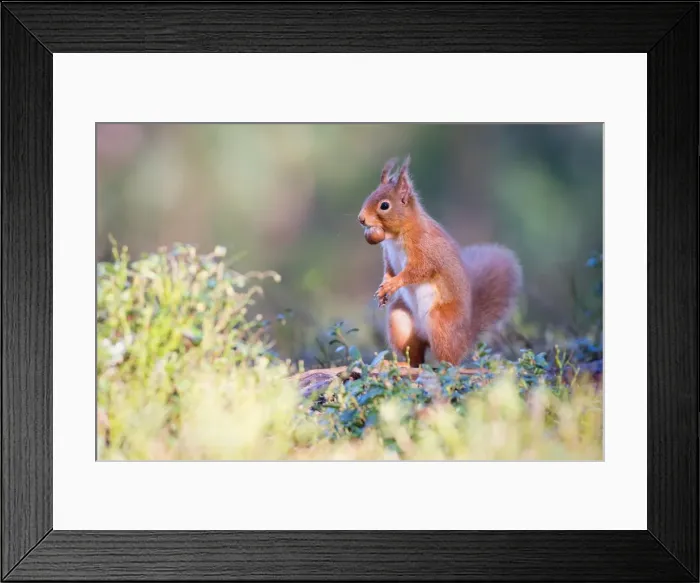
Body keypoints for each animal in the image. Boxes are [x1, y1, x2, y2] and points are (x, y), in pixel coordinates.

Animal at [357, 155, 523, 367]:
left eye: (384, 205)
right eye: (371, 195)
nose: (361, 219)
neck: (397, 235)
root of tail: (465, 337)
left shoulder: (425, 249)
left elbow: (417, 271)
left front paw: (393, 284)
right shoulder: (388, 255)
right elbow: (389, 270)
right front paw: (384, 287)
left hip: (440, 322)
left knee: (449, 359)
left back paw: (441, 365)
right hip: (400, 320)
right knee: (416, 357)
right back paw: (402, 364)